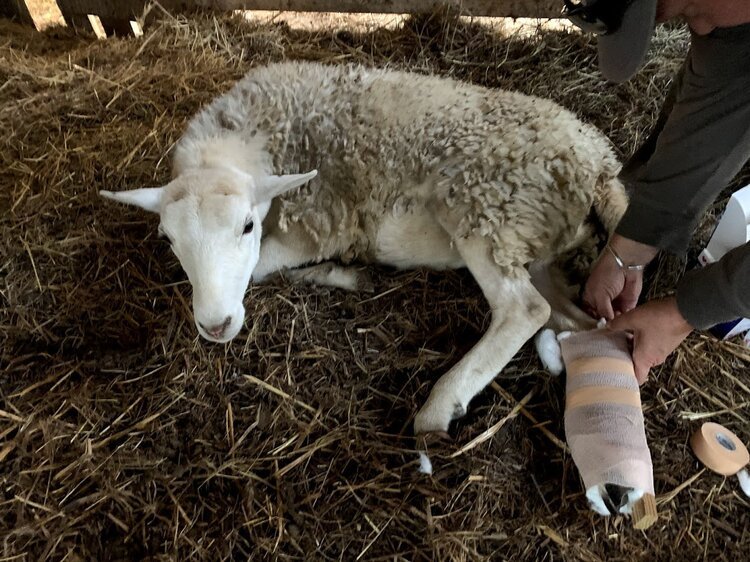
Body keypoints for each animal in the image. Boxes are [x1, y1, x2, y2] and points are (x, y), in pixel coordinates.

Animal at [100, 61, 627, 435]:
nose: (215, 326)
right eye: (169, 240)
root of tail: (601, 163)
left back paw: (441, 404)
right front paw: (346, 275)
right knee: (580, 320)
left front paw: (339, 273)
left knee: (523, 308)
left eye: (247, 226)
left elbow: (262, 267)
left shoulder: (318, 223)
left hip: (487, 207)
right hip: (531, 239)